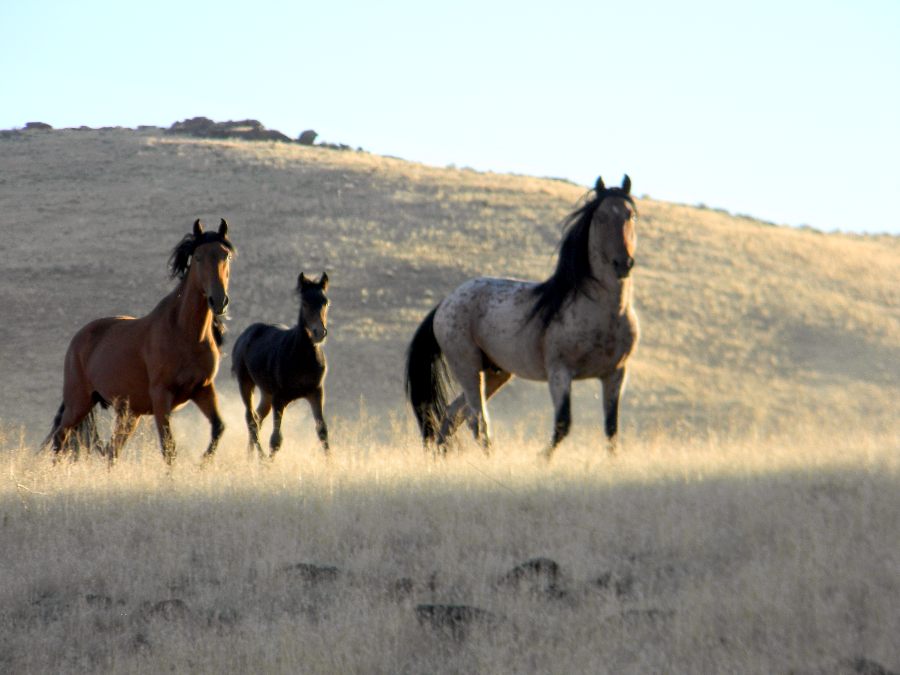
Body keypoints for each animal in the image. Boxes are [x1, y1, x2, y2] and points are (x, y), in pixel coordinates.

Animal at [44, 219, 235, 465]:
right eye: (198, 257)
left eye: (226, 255)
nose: (218, 301)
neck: (184, 334)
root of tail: (78, 339)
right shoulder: (161, 396)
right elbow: (169, 449)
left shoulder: (203, 389)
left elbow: (219, 427)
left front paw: (203, 464)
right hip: (79, 401)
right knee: (61, 437)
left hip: (128, 414)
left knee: (112, 451)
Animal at [231, 271, 330, 458]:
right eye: (304, 303)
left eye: (325, 302)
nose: (319, 333)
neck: (301, 356)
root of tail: (245, 334)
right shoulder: (279, 398)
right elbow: (276, 439)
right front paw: (268, 463)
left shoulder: (316, 393)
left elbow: (323, 433)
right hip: (246, 383)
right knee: (251, 419)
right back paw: (259, 458)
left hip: (266, 393)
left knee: (258, 417)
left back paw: (250, 457)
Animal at [405, 175, 639, 459]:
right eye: (602, 217)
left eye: (631, 215)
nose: (623, 264)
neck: (605, 312)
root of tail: (444, 303)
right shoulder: (560, 372)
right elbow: (562, 424)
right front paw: (541, 460)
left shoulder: (615, 374)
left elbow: (611, 429)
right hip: (467, 366)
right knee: (477, 420)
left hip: (495, 372)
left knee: (453, 415)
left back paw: (439, 460)